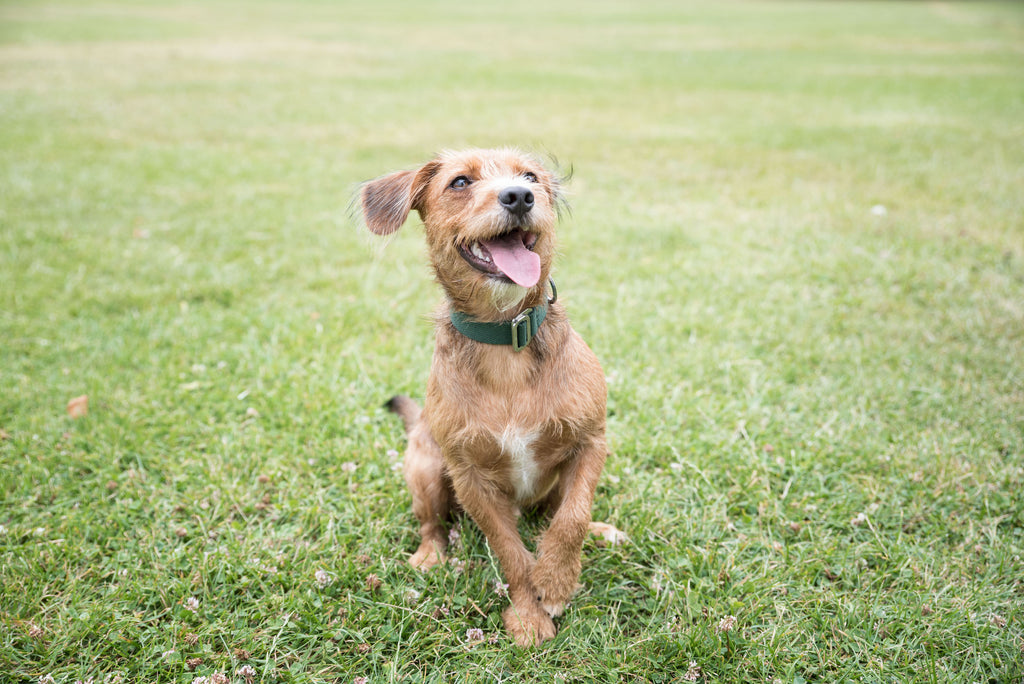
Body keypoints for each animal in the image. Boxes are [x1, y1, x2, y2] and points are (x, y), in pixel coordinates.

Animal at [360, 147, 622, 643]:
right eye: (460, 182)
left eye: (531, 177)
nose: (519, 196)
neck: (506, 340)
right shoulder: (470, 478)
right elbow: (509, 552)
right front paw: (529, 614)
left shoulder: (590, 441)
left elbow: (572, 518)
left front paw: (555, 579)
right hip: (424, 466)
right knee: (432, 524)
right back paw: (430, 555)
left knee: (561, 511)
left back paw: (600, 531)